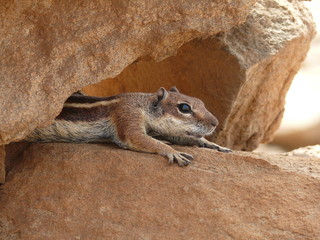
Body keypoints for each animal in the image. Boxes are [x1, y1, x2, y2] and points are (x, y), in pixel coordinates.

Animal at [25, 87, 230, 166]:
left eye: (201, 102)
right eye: (184, 108)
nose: (215, 123)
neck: (142, 104)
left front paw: (213, 144)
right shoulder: (127, 115)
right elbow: (136, 137)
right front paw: (173, 151)